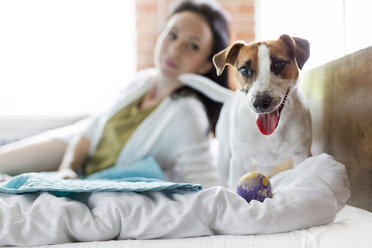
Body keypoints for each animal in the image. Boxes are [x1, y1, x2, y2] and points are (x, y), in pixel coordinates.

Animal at [211, 34, 312, 190]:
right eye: (244, 70)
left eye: (279, 64)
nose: (260, 102)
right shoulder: (239, 161)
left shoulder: (302, 154)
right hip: (224, 156)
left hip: (266, 164)